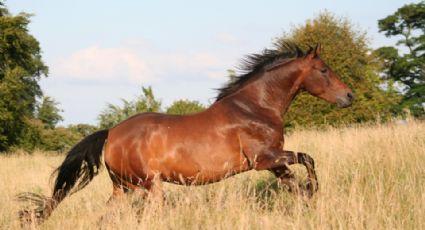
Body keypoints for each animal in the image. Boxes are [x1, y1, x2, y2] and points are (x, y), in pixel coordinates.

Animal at [18, 42, 352, 223]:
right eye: (324, 70)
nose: (349, 96)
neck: (255, 107)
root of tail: (111, 133)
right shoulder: (265, 159)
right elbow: (308, 159)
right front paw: (313, 190)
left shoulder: (275, 164)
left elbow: (296, 184)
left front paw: (308, 201)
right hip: (149, 187)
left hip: (123, 189)